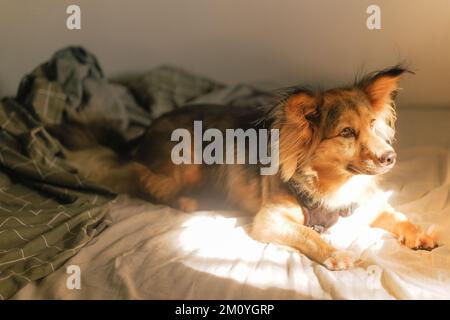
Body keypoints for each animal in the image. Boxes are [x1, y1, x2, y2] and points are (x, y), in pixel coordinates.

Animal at [51, 67, 438, 270]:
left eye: (373, 125)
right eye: (346, 132)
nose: (390, 157)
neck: (336, 184)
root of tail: (144, 132)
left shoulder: (368, 203)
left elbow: (398, 216)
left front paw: (421, 233)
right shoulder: (270, 220)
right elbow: (309, 234)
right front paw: (335, 253)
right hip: (188, 157)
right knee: (146, 183)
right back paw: (187, 202)